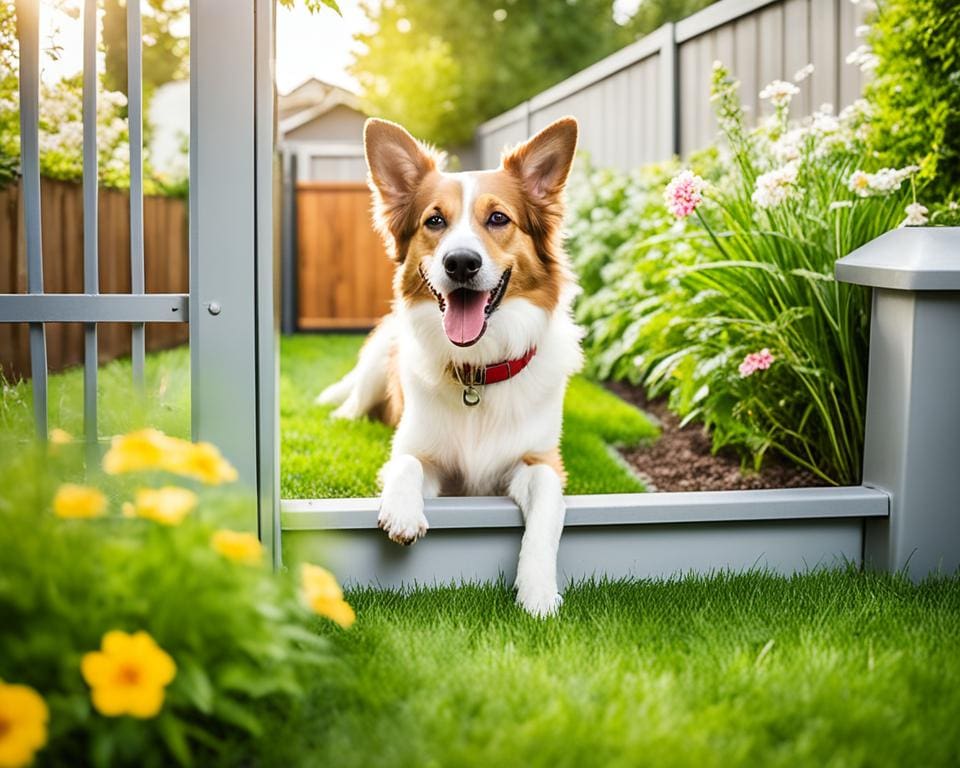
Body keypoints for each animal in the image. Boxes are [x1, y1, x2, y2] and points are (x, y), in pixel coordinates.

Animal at [318, 115, 580, 616]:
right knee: (353, 403)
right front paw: (402, 511)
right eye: (434, 221)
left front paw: (538, 592)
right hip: (379, 357)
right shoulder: (423, 455)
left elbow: (546, 512)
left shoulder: (541, 461)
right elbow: (406, 463)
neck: (477, 369)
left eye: (498, 218)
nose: (460, 262)